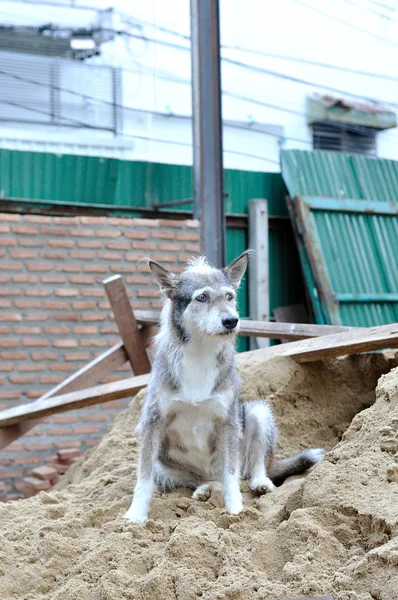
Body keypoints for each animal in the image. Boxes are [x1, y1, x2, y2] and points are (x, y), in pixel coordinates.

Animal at [124, 251, 324, 524]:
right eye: (202, 297)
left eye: (229, 296)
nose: (231, 321)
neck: (201, 352)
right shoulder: (152, 422)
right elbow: (143, 479)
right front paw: (135, 516)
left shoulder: (228, 422)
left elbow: (231, 476)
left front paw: (236, 511)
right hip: (164, 466)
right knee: (200, 480)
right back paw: (203, 490)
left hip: (257, 412)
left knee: (249, 469)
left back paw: (259, 483)